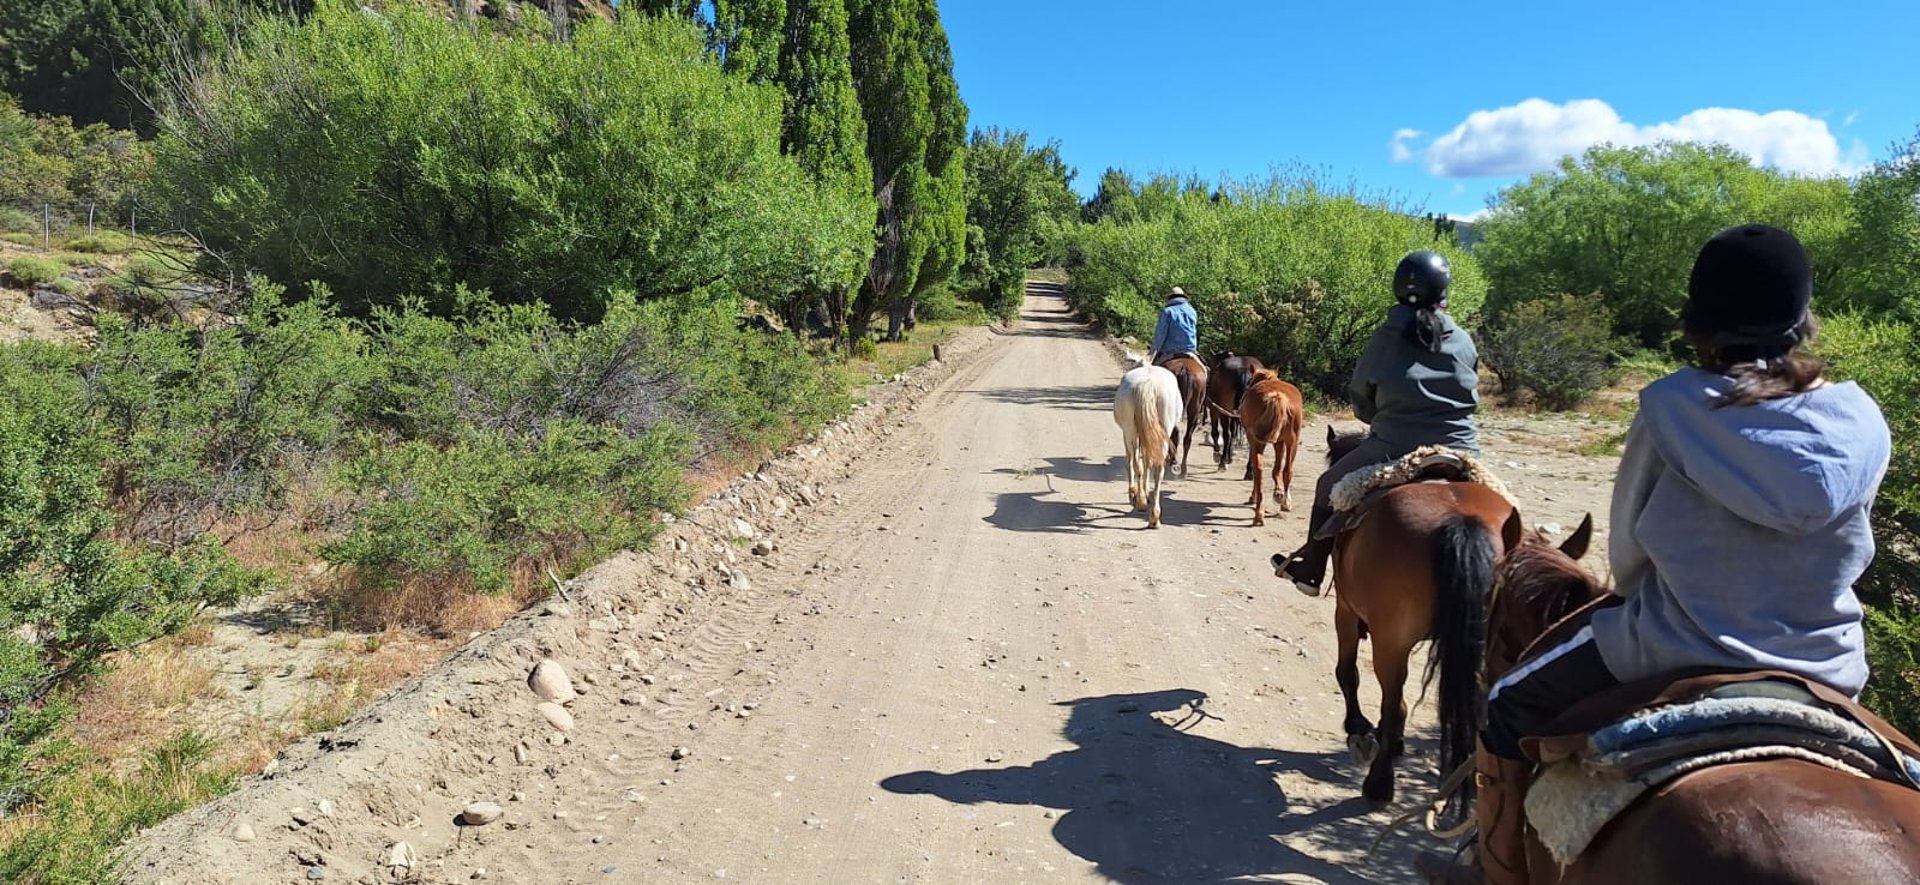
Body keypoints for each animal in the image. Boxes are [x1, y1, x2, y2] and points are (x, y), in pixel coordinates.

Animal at [1113, 360, 1182, 526]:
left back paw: (1141, 501)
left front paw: (1134, 493)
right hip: (1163, 431)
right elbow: (1147, 462)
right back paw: (1154, 517)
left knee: (1136, 464)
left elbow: (1133, 462)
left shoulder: (1128, 434)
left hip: (1130, 432)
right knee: (1158, 470)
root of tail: (1148, 382)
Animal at [1236, 366, 1297, 526]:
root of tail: (1276, 396)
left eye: (1250, 381)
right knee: (1287, 470)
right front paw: (1278, 493)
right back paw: (1282, 504)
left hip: (1258, 441)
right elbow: (1277, 469)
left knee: (1259, 470)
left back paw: (1260, 511)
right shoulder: (1279, 442)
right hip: (1292, 441)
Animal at [1297, 428, 1520, 813]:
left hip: (1391, 643)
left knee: (1395, 706)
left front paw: (1357, 728)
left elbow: (1348, 672)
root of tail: (1463, 522)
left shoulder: (1346, 611)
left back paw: (1379, 785)